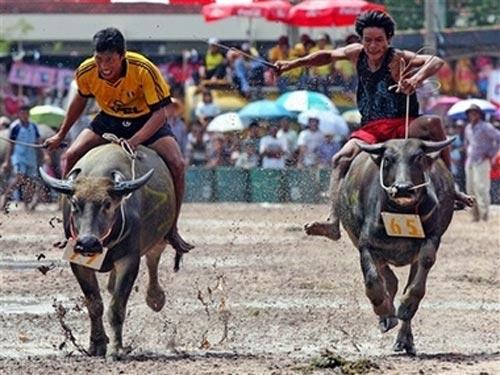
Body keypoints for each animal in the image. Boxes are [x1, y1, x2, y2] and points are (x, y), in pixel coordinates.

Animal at [41, 143, 178, 358]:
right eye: (74, 204)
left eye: (107, 204)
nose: (87, 243)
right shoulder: (77, 262)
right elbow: (94, 304)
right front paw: (97, 344)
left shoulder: (129, 260)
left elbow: (116, 307)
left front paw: (117, 349)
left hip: (161, 237)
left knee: (153, 259)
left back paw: (155, 298)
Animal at [338, 137, 456, 356]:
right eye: (388, 159)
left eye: (418, 157)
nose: (402, 188)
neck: (402, 212)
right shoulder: (366, 245)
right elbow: (372, 281)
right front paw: (383, 310)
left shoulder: (431, 241)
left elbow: (415, 287)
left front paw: (406, 308)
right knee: (389, 280)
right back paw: (387, 319)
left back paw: (404, 340)